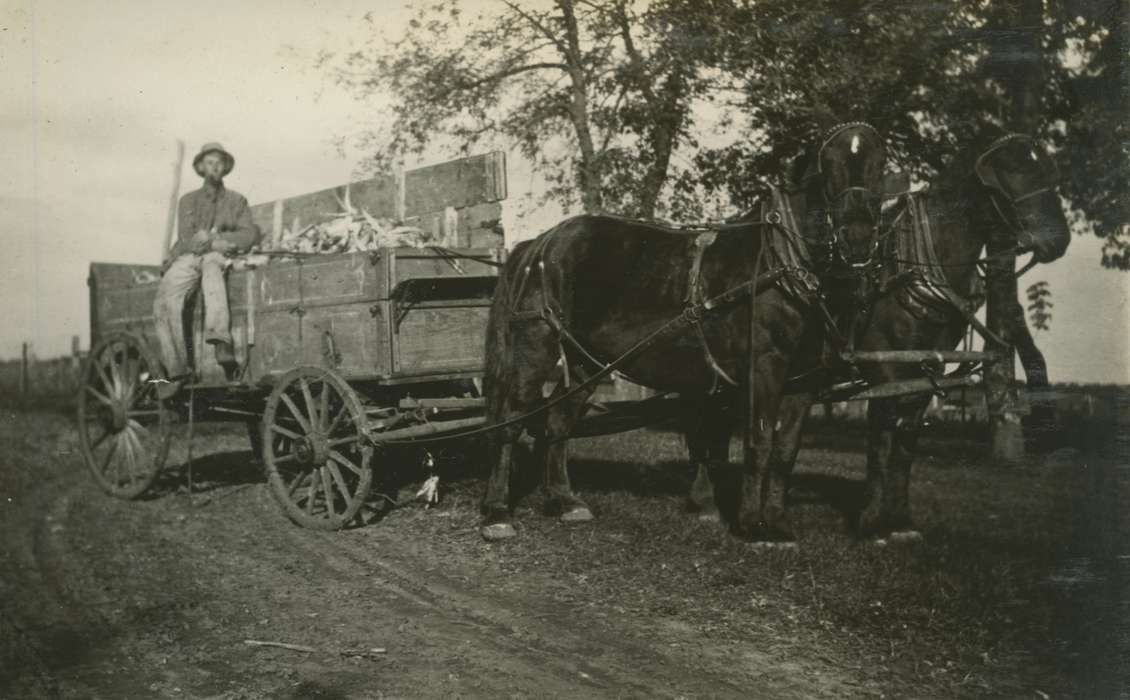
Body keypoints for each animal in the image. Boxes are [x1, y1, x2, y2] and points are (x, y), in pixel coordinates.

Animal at [481, 123, 885, 542]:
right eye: (828, 165)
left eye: (881, 164)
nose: (858, 239)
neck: (783, 266)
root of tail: (540, 243)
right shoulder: (764, 369)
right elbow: (758, 444)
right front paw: (750, 524)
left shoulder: (804, 379)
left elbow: (785, 450)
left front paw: (777, 523)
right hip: (536, 344)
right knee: (511, 420)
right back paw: (497, 512)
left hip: (585, 361)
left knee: (559, 420)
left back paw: (565, 501)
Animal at [691, 126, 1071, 542]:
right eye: (1012, 171)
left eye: (1051, 171)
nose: (1058, 241)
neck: (916, 265)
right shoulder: (884, 365)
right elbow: (881, 439)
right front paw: (872, 520)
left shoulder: (927, 369)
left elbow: (905, 443)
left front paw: (900, 519)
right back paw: (708, 505)